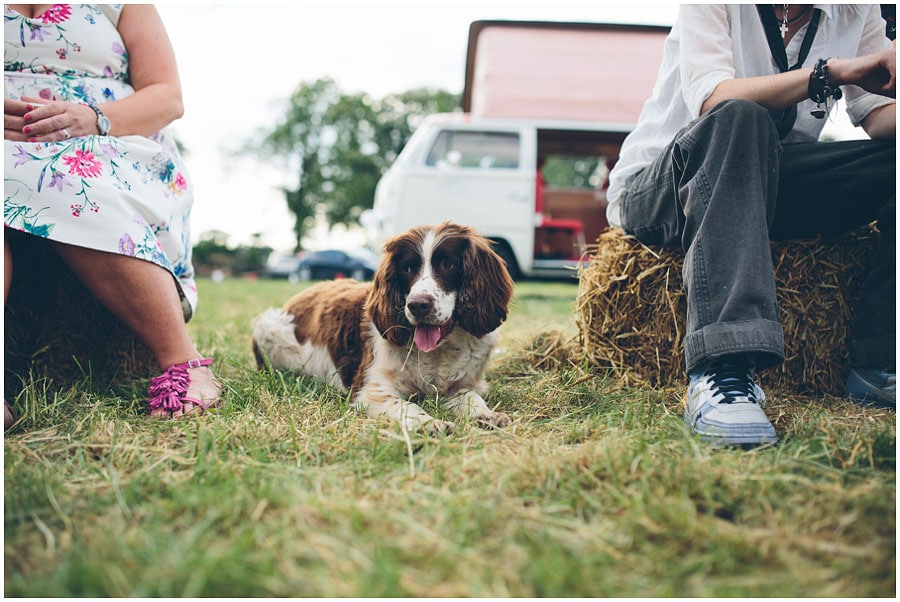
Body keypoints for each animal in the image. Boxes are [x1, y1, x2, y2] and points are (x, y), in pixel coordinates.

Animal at [251, 221, 512, 432]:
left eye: (448, 264)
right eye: (407, 268)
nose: (418, 306)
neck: (439, 351)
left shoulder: (462, 385)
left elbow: (471, 398)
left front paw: (487, 415)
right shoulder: (371, 390)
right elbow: (405, 405)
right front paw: (429, 423)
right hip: (268, 328)